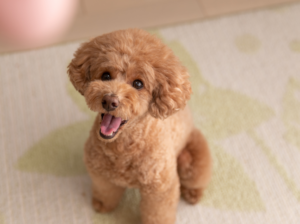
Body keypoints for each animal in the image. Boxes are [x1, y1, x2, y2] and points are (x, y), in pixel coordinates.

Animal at [67, 28, 213, 223]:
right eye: (106, 75)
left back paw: (192, 194)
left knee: (197, 179)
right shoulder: (100, 174)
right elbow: (106, 191)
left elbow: (158, 213)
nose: (110, 101)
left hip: (193, 161)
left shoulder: (160, 189)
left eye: (138, 84)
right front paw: (102, 205)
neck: (123, 147)